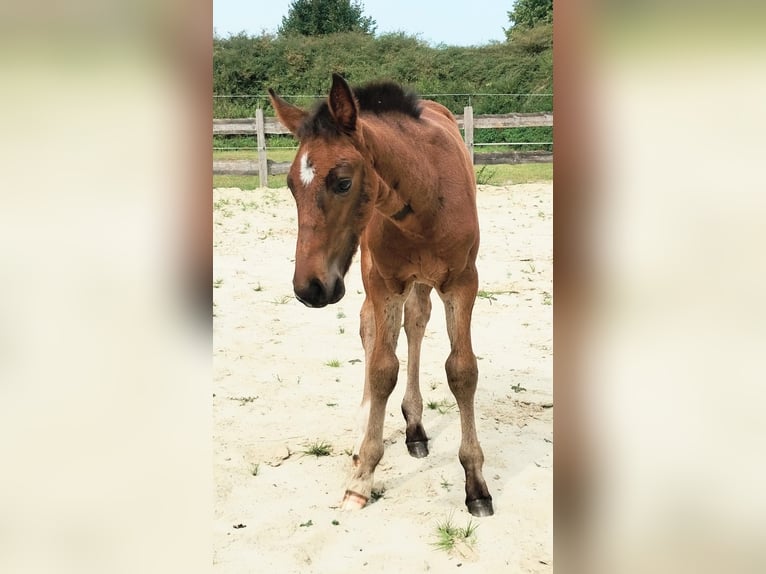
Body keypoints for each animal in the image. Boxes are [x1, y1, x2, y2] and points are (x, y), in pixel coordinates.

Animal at [268, 74, 494, 517]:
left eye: (342, 182)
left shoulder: (463, 282)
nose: (309, 289)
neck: (426, 199)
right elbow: (381, 369)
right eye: (289, 186)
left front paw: (476, 485)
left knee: (417, 322)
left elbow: (462, 371)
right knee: (370, 330)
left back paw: (415, 428)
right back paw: (366, 438)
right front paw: (362, 477)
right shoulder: (385, 283)